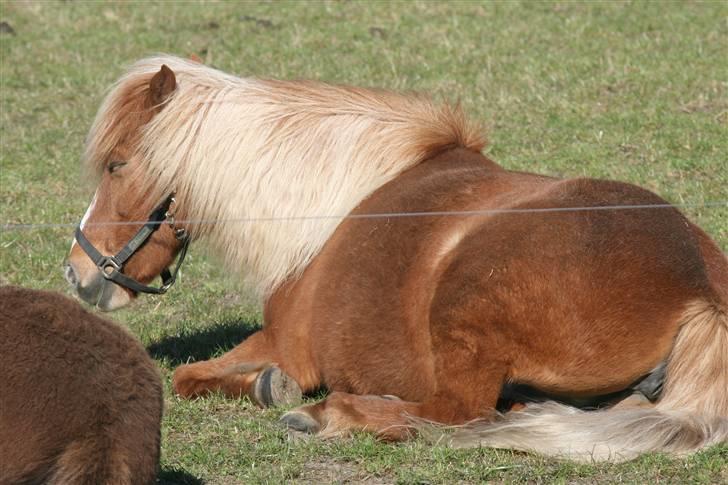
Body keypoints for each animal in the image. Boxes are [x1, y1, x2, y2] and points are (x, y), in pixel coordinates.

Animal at [65, 55, 724, 462]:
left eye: (117, 164)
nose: (78, 272)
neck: (325, 210)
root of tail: (701, 287)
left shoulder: (285, 342)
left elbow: (189, 377)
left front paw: (273, 389)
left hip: (468, 313)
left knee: (457, 416)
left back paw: (330, 415)